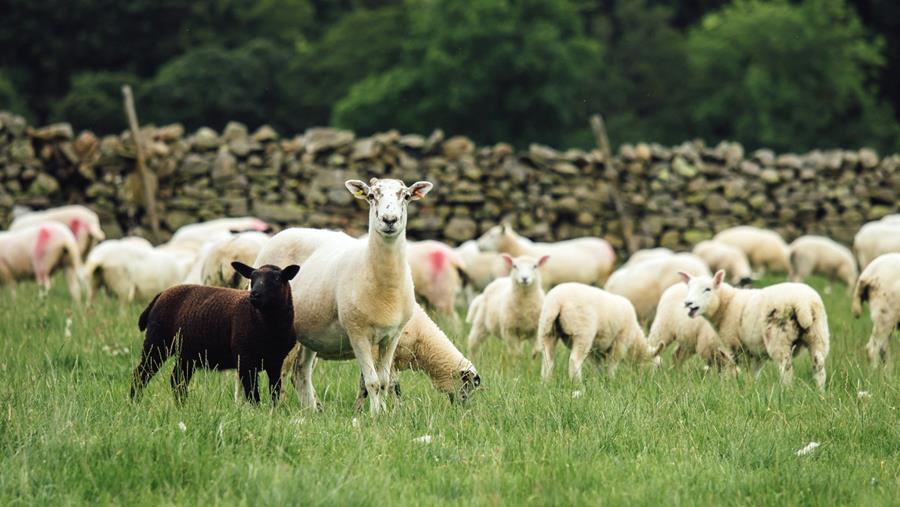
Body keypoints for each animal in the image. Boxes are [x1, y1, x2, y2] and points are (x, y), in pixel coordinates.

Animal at [130, 262, 300, 404]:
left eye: (277, 279)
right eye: (252, 278)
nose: (254, 294)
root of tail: (160, 295)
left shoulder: (275, 362)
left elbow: (275, 391)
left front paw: (273, 412)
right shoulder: (245, 360)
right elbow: (253, 393)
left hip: (187, 353)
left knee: (177, 379)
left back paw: (182, 406)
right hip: (157, 342)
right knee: (141, 373)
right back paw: (134, 403)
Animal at [255, 177, 434, 414]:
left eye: (406, 196)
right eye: (371, 196)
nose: (389, 220)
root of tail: (286, 231)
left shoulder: (393, 336)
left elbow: (384, 380)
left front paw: (385, 414)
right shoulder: (357, 333)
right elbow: (373, 382)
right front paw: (375, 415)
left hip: (309, 330)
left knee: (301, 371)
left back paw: (311, 411)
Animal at [474, 223, 616, 290]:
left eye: (492, 235)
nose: (478, 245)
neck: (521, 250)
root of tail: (608, 246)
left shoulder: (545, 283)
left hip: (603, 276)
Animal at [684, 272, 828, 390]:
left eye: (707, 289)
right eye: (689, 288)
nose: (688, 303)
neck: (726, 305)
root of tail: (803, 303)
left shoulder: (735, 345)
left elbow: (737, 368)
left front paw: (736, 386)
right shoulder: (756, 352)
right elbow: (753, 371)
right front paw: (751, 386)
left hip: (779, 336)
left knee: (786, 367)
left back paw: (785, 390)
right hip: (818, 334)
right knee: (818, 365)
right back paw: (820, 392)